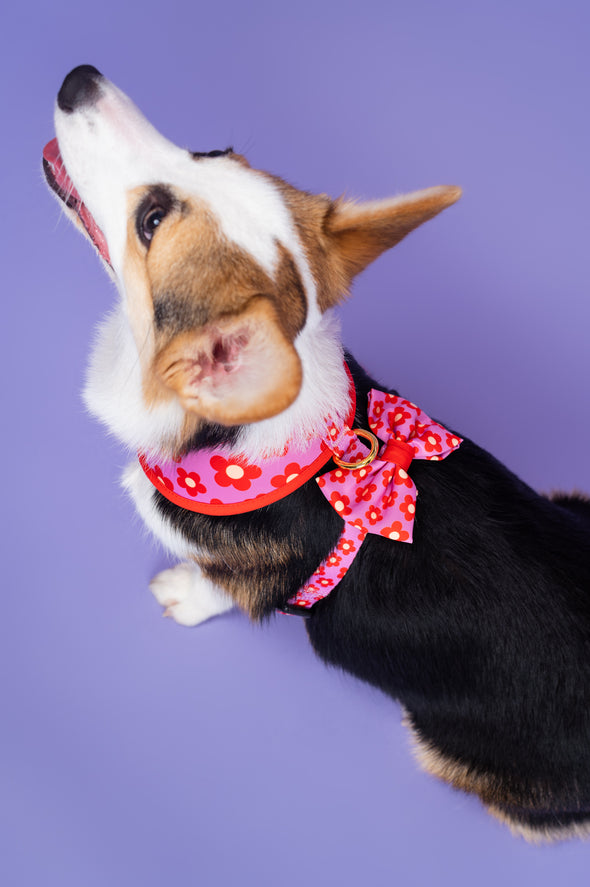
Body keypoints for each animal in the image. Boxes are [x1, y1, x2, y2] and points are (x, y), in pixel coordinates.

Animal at [44, 66, 590, 844]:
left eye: (150, 220)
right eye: (211, 150)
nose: (78, 78)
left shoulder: (240, 575)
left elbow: (213, 587)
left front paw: (179, 593)